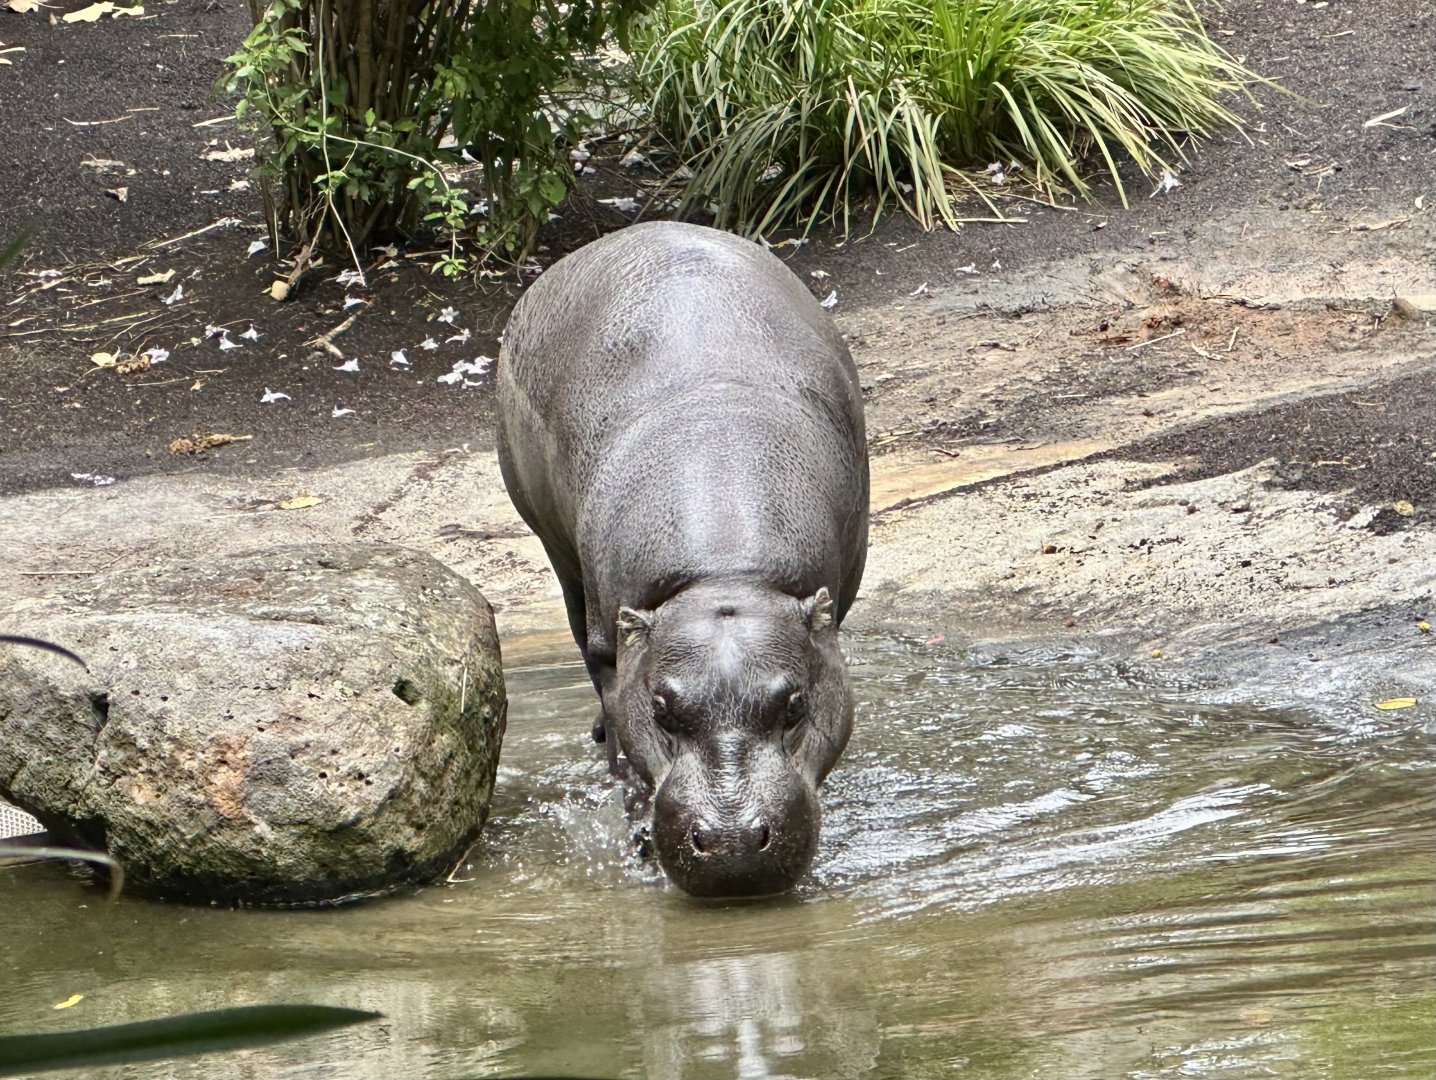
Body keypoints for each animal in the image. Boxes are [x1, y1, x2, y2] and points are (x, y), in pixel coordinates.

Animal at [496, 221, 868, 897]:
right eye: (662, 710)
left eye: (796, 704)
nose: (731, 844)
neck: (725, 575)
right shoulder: (617, 651)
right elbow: (624, 735)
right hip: (556, 553)